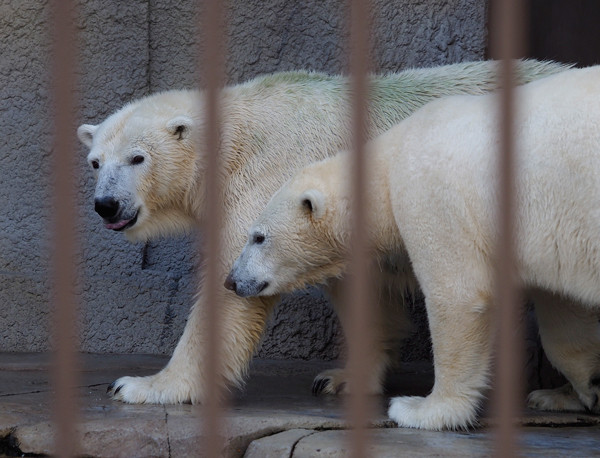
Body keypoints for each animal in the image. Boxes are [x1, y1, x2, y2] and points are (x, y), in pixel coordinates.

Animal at [77, 60, 568, 404]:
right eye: (96, 162)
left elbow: (234, 286)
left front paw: (144, 385)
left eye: (138, 158)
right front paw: (342, 378)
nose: (107, 204)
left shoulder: (271, 182)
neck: (236, 137)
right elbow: (356, 287)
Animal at [227, 66, 600, 432]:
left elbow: (459, 296)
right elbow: (566, 310)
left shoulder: (436, 198)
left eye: (257, 237)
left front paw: (423, 410)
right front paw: (580, 389)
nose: (232, 280)